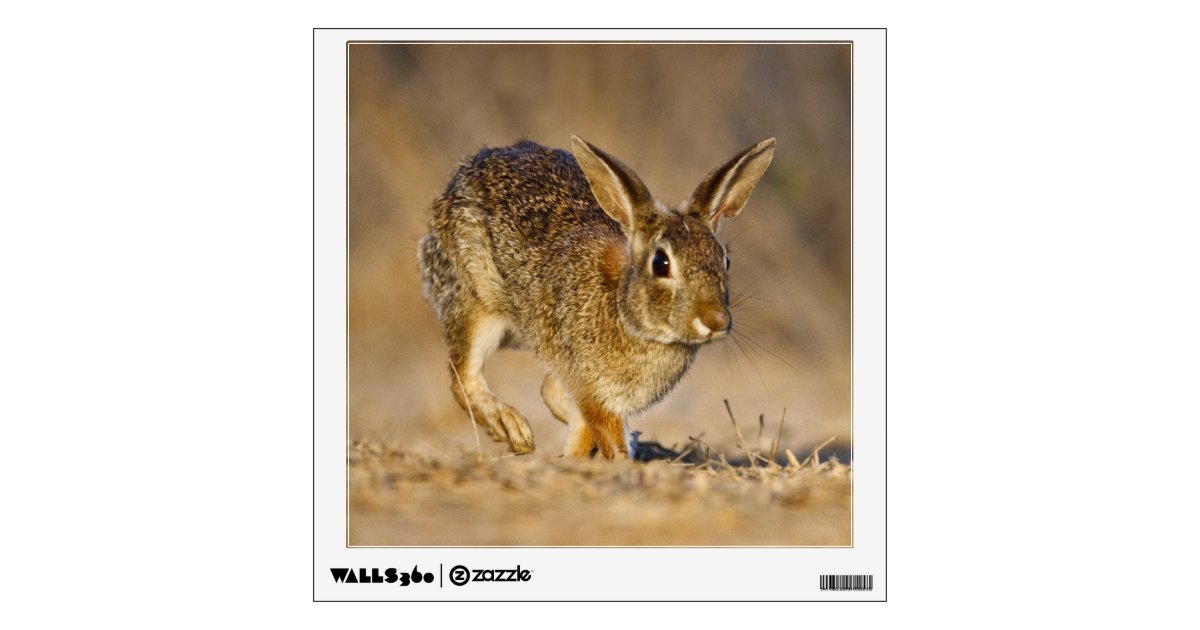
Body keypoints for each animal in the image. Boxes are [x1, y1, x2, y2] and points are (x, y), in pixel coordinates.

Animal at [417, 136, 775, 459]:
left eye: (725, 261)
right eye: (661, 263)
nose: (716, 320)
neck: (625, 312)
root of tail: (461, 174)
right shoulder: (593, 391)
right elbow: (606, 436)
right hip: (475, 302)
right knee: (463, 378)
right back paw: (512, 428)